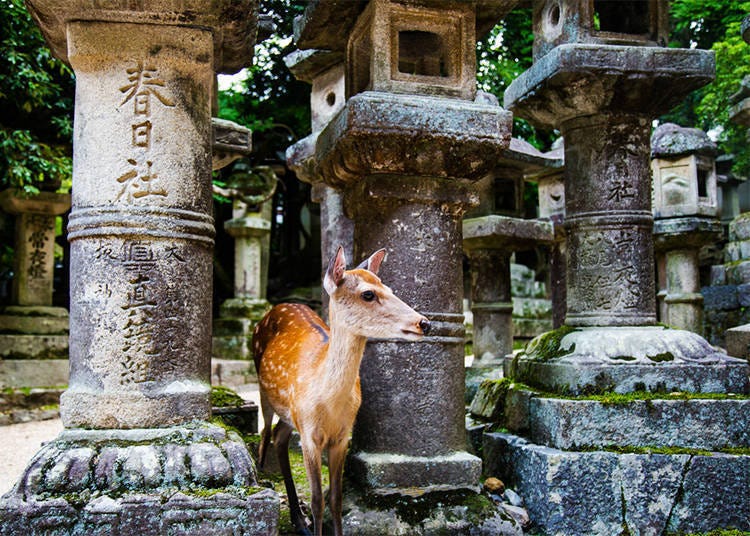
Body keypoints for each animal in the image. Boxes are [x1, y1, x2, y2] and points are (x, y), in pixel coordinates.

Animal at [253, 247, 428, 536]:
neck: (329, 405)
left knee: (279, 437)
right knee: (265, 436)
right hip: (264, 393)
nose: (424, 323)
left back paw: (298, 520)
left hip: (291, 414)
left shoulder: (343, 435)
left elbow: (336, 499)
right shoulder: (309, 435)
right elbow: (317, 500)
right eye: (368, 294)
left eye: (390, 289)